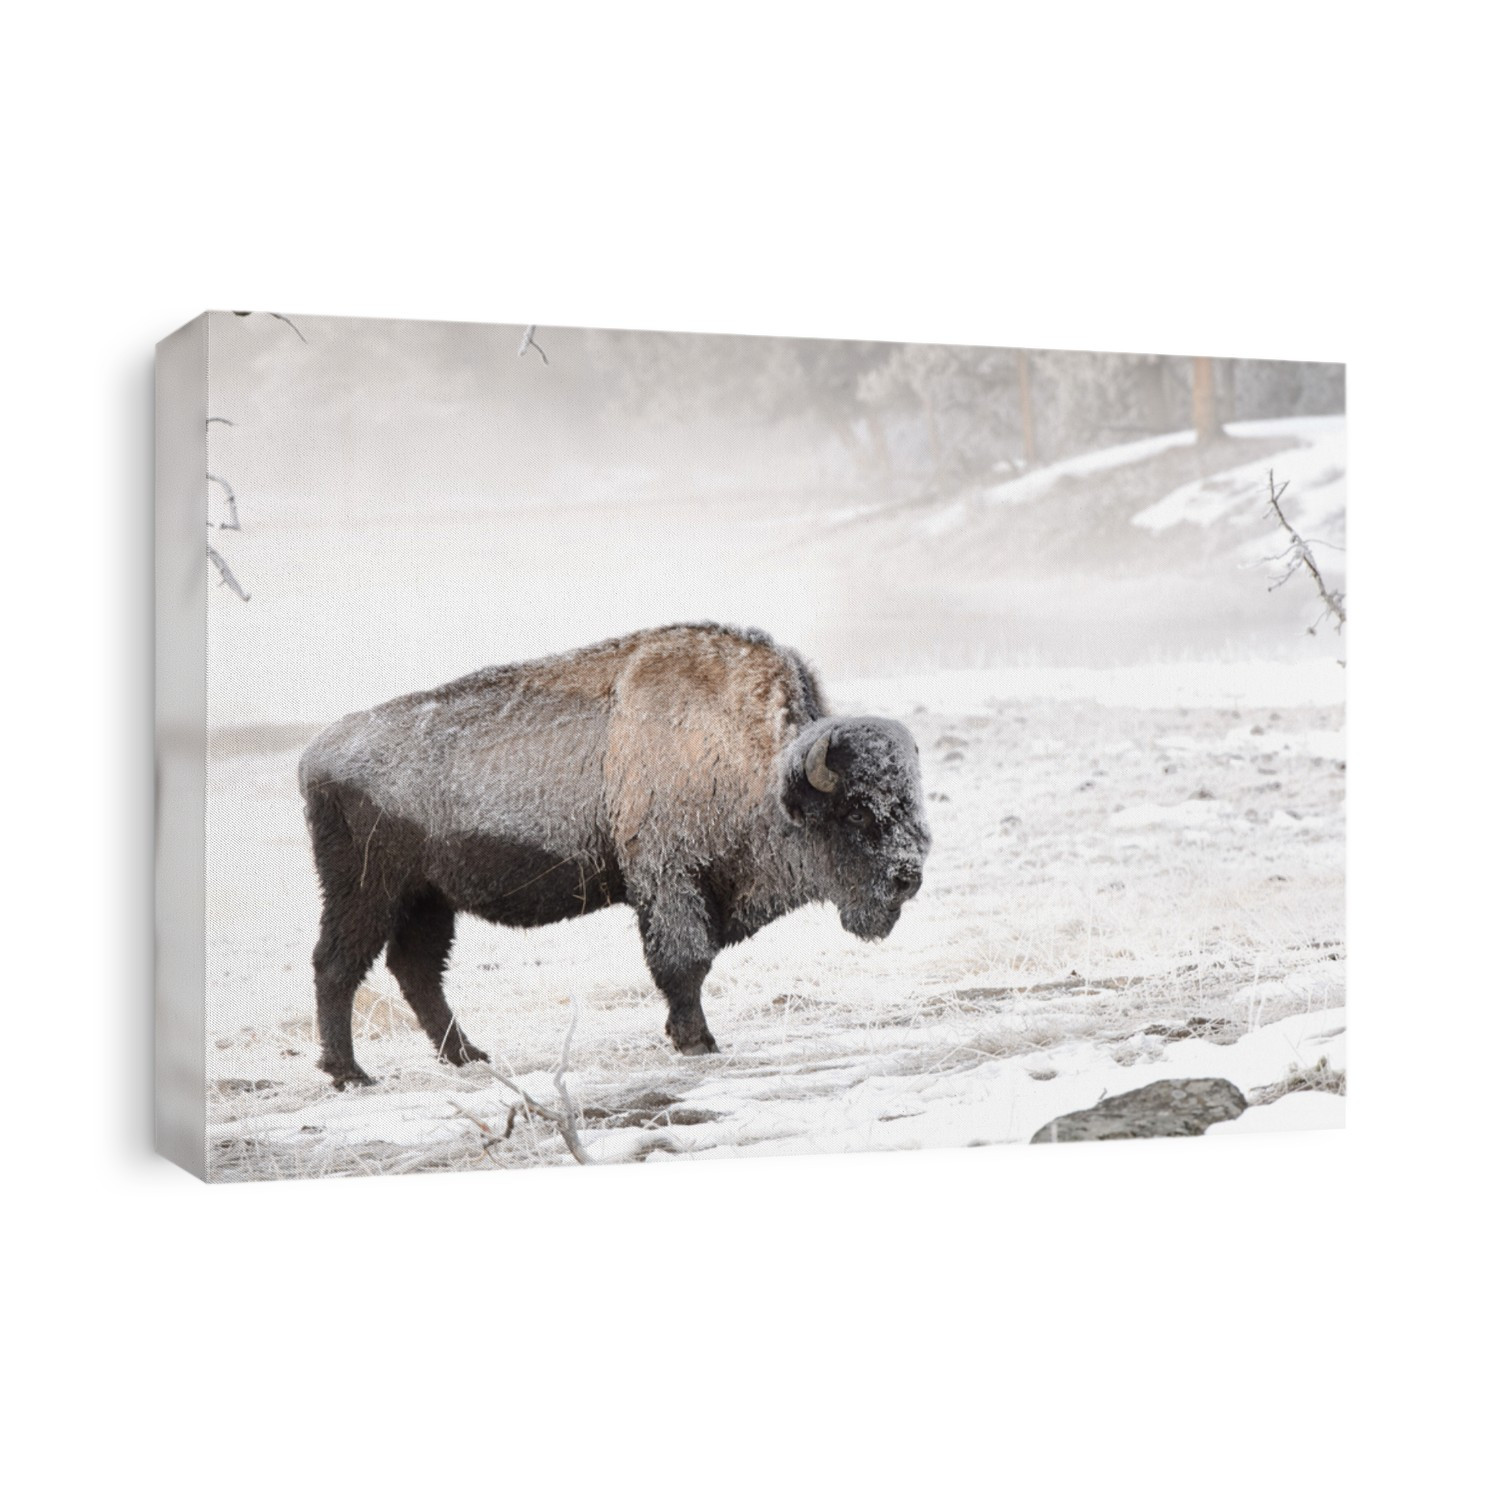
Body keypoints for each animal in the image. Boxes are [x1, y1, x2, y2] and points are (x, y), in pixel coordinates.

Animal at [298, 623, 930, 1086]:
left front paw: (687, 1036)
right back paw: (351, 1075)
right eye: (856, 813)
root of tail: (315, 754)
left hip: (428, 901)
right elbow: (685, 961)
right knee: (338, 965)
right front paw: (698, 1042)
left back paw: (467, 1056)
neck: (759, 766)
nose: (909, 877)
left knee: (417, 971)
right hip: (366, 890)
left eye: (909, 800)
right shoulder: (670, 880)